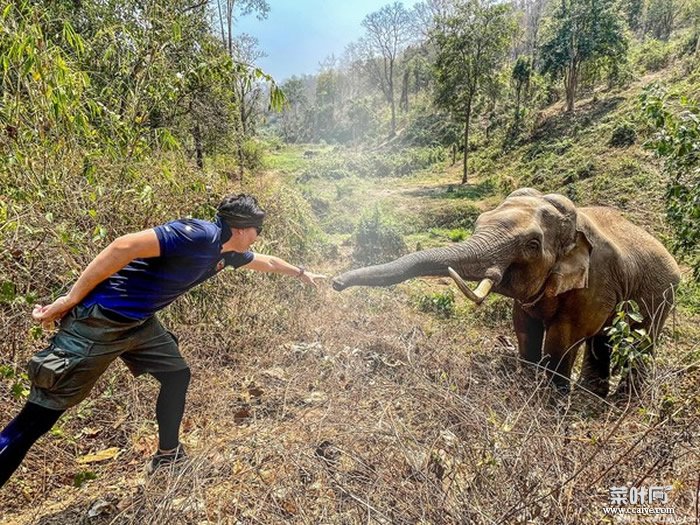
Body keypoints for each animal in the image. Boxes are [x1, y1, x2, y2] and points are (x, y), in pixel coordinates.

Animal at [330, 186, 680, 396]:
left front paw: (551, 403)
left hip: (662, 294)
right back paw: (593, 395)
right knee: (603, 341)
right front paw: (527, 385)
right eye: (478, 222)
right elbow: (524, 327)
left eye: (532, 244)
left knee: (641, 342)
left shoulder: (595, 282)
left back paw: (621, 400)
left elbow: (564, 337)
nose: (335, 283)